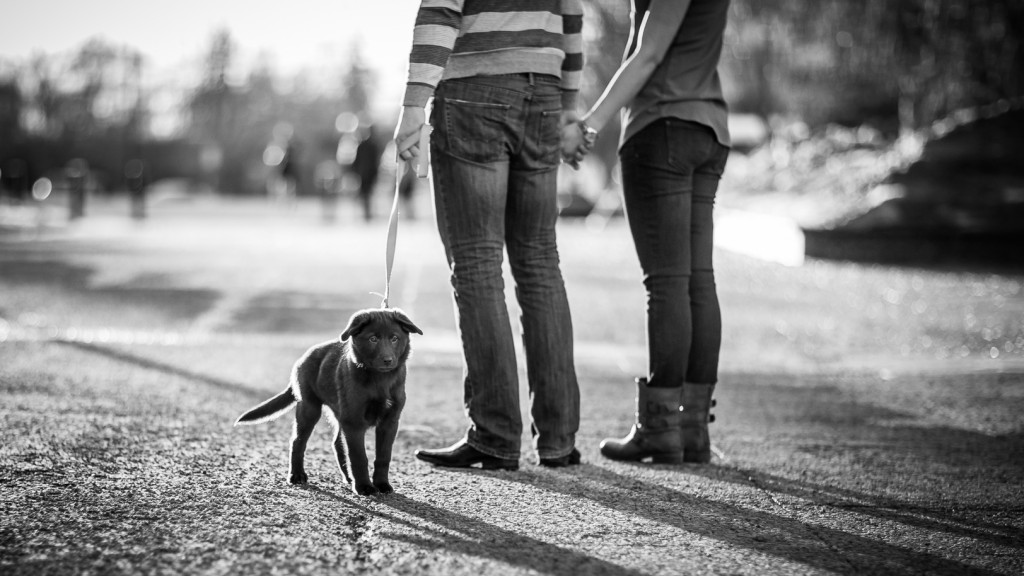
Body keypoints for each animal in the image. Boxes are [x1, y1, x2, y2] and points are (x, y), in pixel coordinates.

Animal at [234, 307, 419, 496]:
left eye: (394, 338)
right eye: (372, 339)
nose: (388, 360)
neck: (380, 380)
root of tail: (302, 359)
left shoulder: (389, 422)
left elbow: (383, 456)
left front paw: (381, 484)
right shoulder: (354, 422)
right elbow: (359, 456)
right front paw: (364, 487)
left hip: (337, 414)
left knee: (337, 443)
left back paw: (349, 477)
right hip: (309, 408)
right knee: (298, 442)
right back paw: (297, 475)